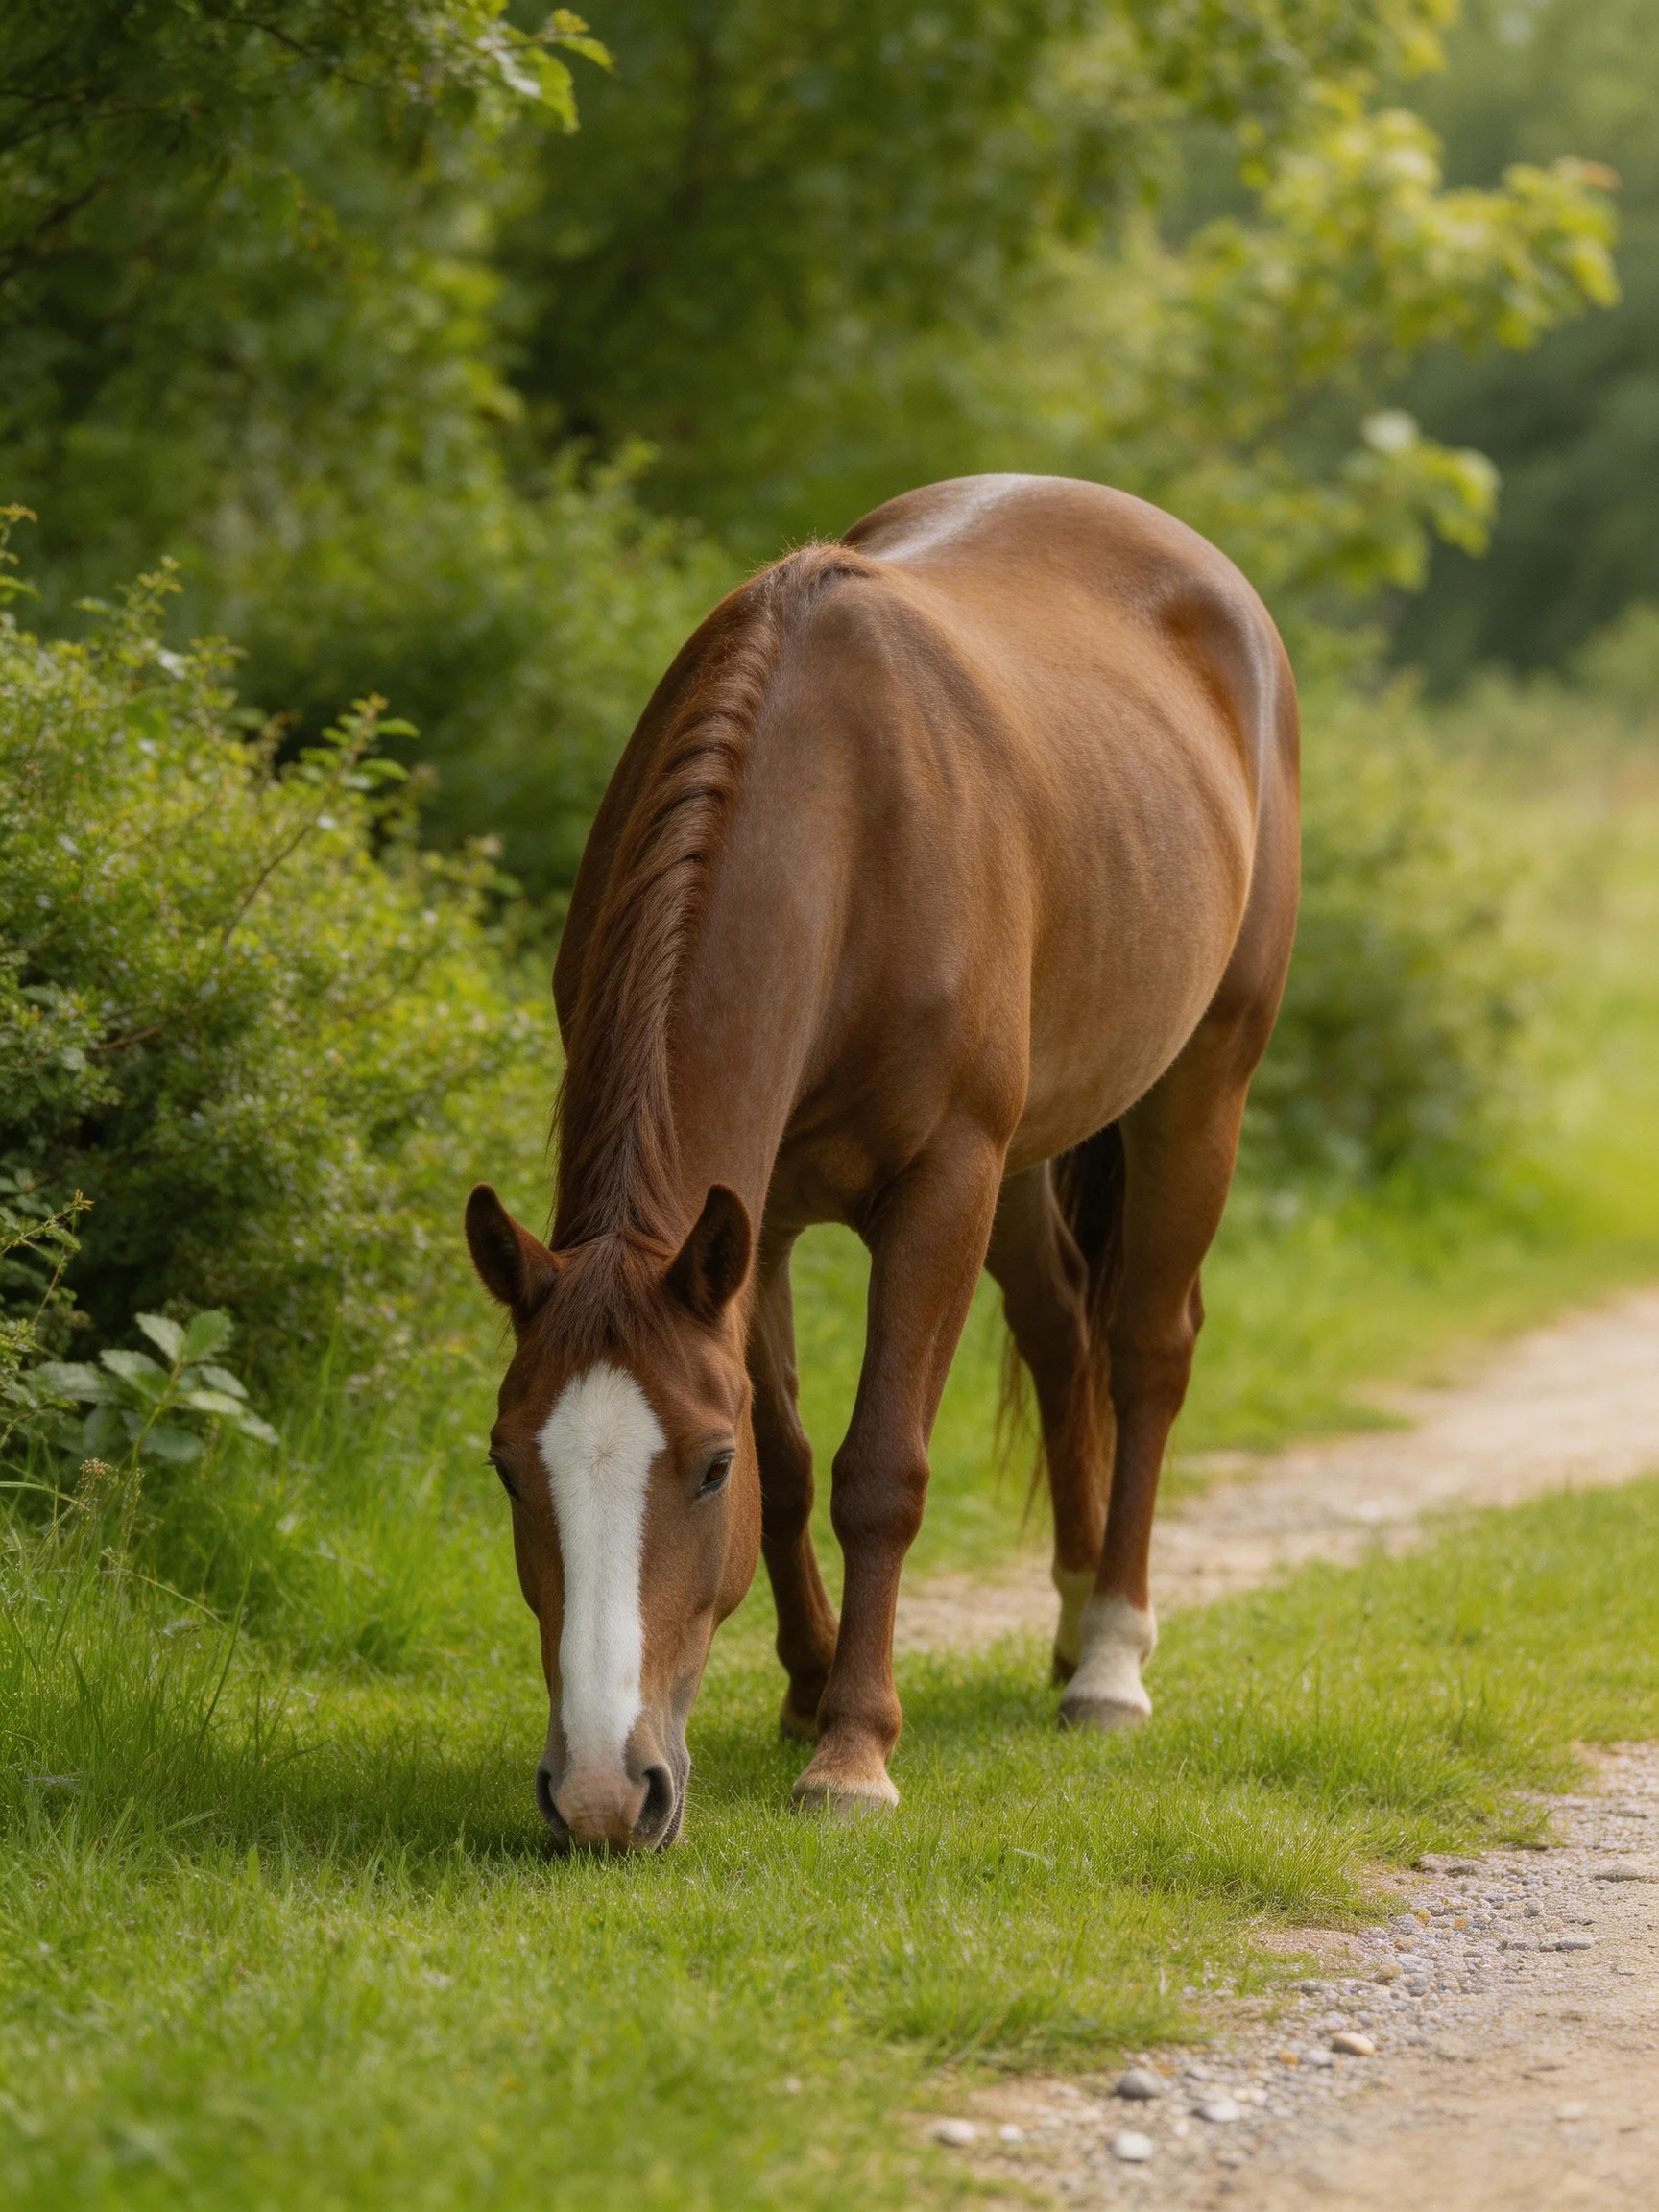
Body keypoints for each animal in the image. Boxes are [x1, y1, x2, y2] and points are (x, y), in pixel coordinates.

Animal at [465, 473, 1299, 1851]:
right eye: (506, 1462)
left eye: (704, 1468)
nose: (601, 1794)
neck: (848, 827)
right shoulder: (749, 1223)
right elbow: (798, 1463)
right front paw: (807, 1693)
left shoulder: (939, 1187)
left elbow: (877, 1469)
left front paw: (852, 1750)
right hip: (1027, 1158)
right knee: (1059, 1330)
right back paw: (1071, 1618)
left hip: (1197, 1089)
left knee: (1143, 1349)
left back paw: (1110, 1659)